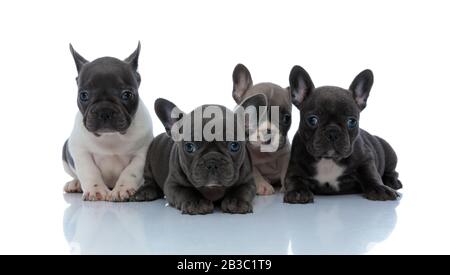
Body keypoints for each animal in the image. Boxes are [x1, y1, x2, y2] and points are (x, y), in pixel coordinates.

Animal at [61, 43, 154, 203]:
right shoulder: (79, 150)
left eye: (127, 94)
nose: (104, 111)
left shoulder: (142, 153)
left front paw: (122, 189)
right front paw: (95, 190)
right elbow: (88, 170)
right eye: (83, 95)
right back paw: (75, 184)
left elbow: (131, 171)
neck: (111, 137)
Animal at [232, 64, 292, 196]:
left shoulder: (285, 155)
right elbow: (255, 173)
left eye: (286, 118)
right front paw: (263, 186)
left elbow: (286, 169)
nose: (269, 131)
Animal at [284, 66, 402, 204]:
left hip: (389, 153)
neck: (328, 159)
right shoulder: (294, 168)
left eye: (352, 121)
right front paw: (298, 192)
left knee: (392, 172)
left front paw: (379, 188)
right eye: (312, 120)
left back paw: (393, 182)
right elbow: (294, 179)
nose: (333, 132)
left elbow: (371, 174)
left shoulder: (366, 159)